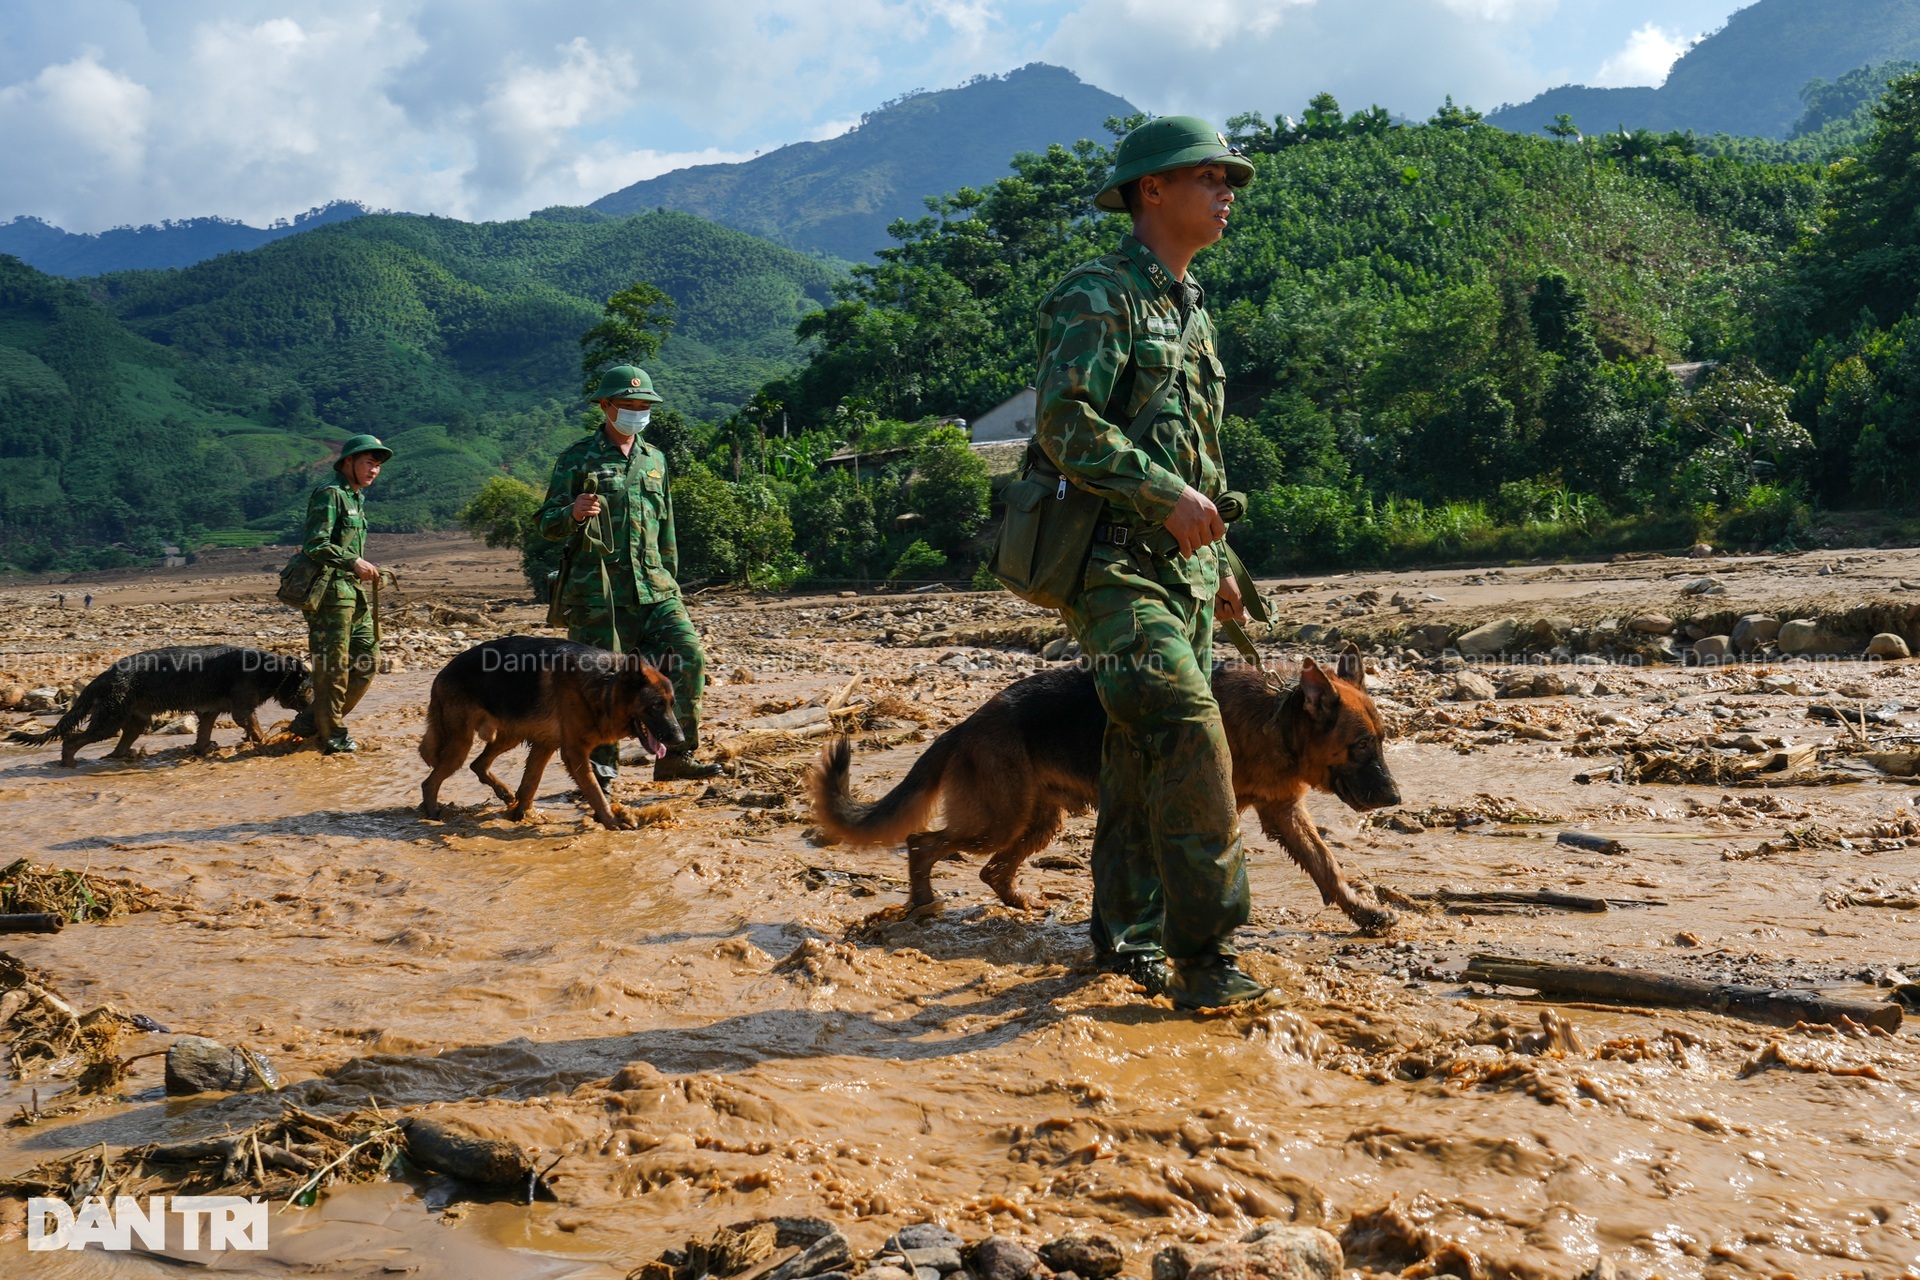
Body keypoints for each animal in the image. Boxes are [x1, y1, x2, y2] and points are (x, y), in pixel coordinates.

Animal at [6, 644, 311, 767]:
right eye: (309, 688)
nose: (310, 706)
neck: (275, 670)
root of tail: (102, 676)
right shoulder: (242, 709)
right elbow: (255, 728)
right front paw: (264, 745)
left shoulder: (209, 710)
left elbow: (204, 733)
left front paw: (202, 751)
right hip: (110, 718)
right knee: (72, 741)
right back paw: (69, 763)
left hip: (134, 717)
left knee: (122, 741)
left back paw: (119, 758)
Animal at [418, 637, 683, 832]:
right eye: (656, 705)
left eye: (672, 704)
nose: (680, 740)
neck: (606, 685)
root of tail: (443, 671)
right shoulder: (574, 752)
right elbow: (594, 790)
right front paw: (612, 822)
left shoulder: (544, 745)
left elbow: (530, 786)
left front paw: (522, 816)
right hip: (460, 745)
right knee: (430, 782)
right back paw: (432, 815)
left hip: (509, 737)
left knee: (478, 764)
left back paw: (504, 793)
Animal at [814, 640, 1413, 932]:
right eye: (1361, 747)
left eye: (1383, 741)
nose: (1395, 799)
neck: (1274, 717)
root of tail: (965, 724)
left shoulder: (1283, 812)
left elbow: (1326, 866)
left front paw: (1362, 911)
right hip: (996, 821)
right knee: (923, 843)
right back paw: (923, 902)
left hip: (1038, 821)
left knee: (992, 871)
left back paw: (1022, 904)